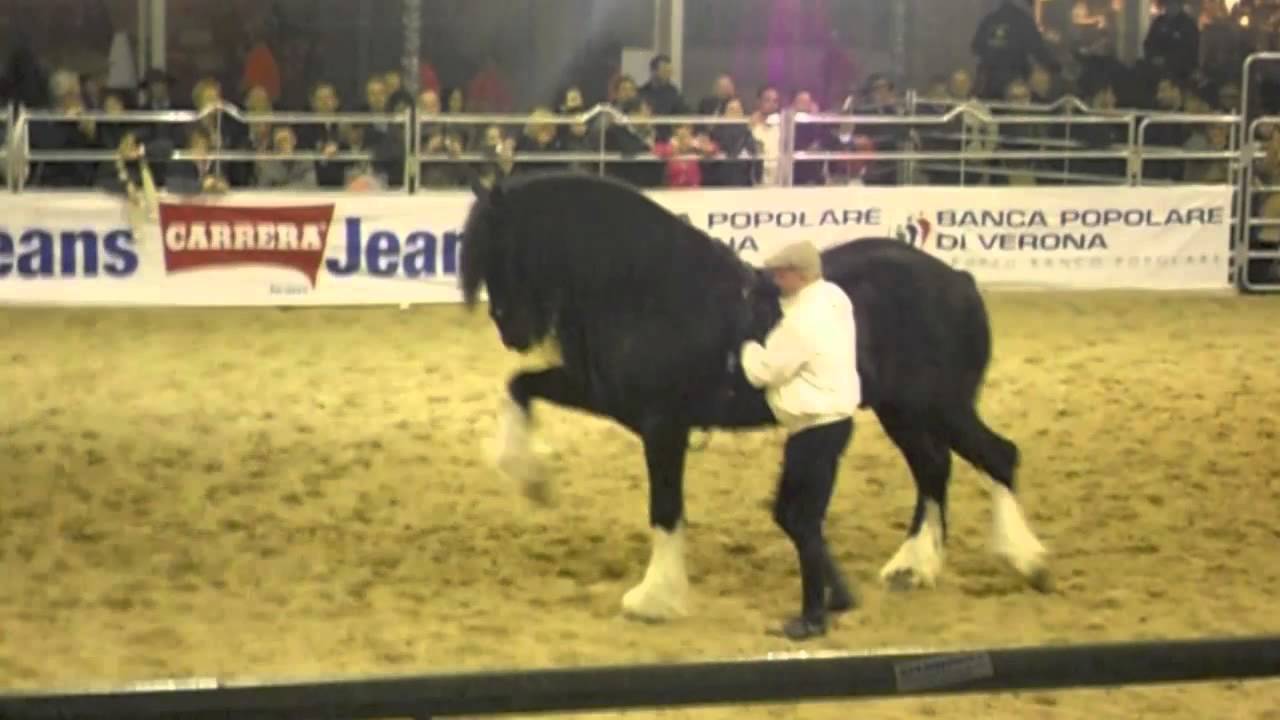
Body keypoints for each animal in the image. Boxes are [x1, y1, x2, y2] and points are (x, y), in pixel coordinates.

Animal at [458, 170, 1051, 631]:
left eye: (503, 248)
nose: (511, 329)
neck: (649, 288)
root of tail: (957, 279)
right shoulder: (606, 396)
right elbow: (520, 386)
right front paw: (532, 477)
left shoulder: (663, 424)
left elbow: (665, 508)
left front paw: (654, 598)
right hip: (902, 412)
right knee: (934, 469)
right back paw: (914, 566)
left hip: (939, 406)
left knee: (997, 456)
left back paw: (1025, 559)